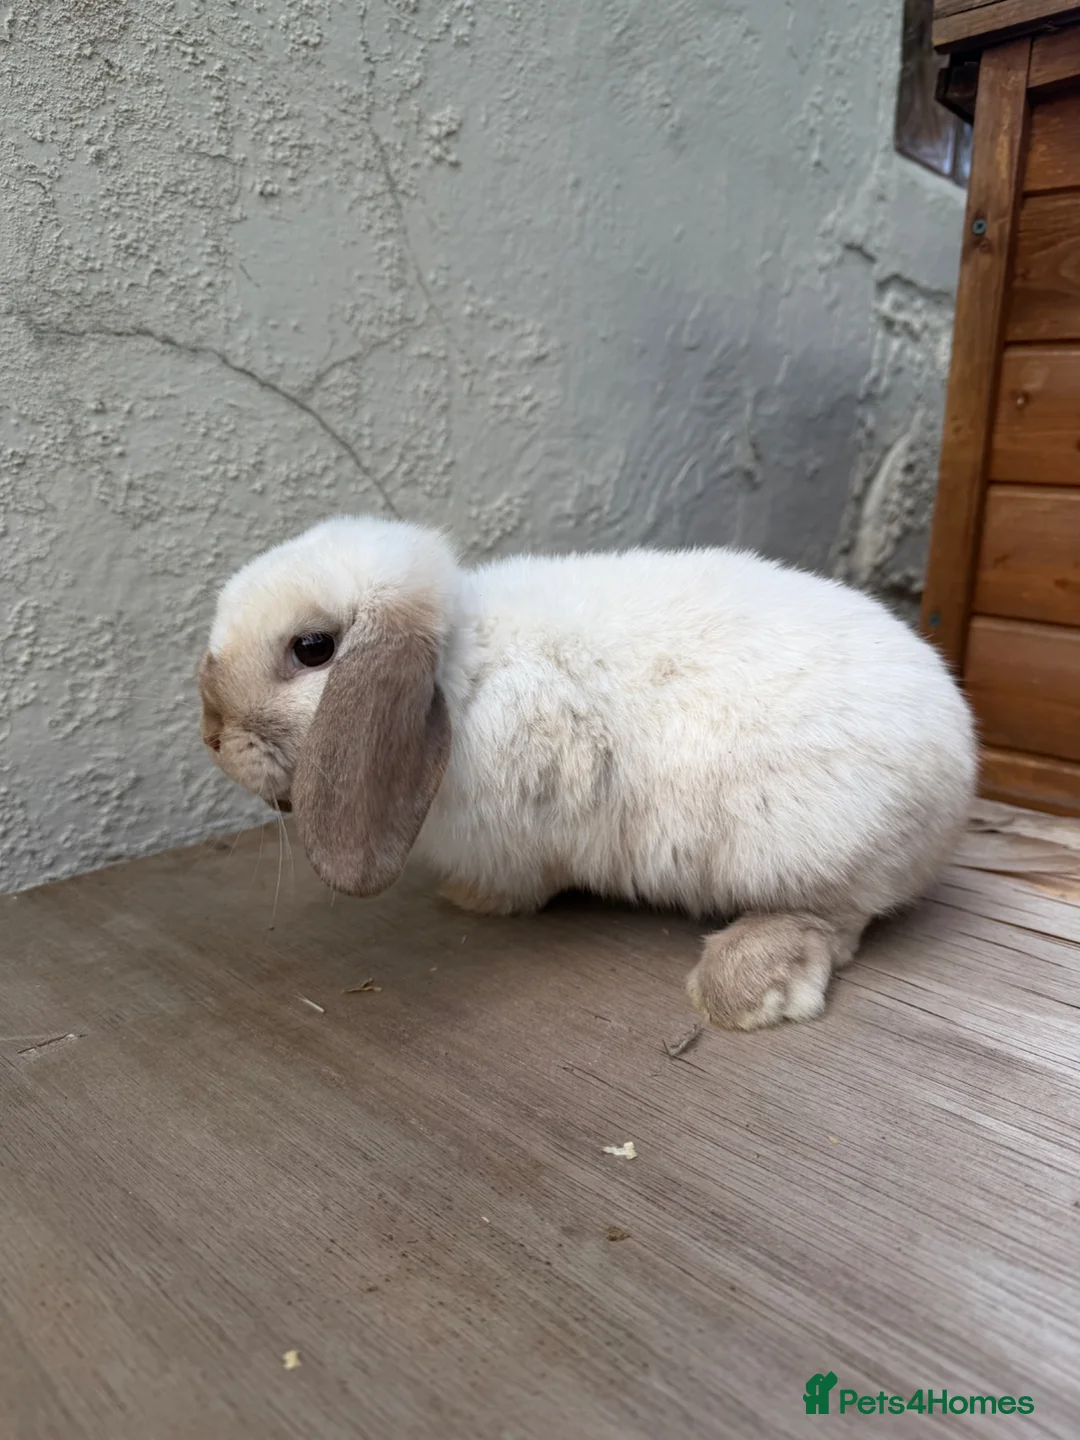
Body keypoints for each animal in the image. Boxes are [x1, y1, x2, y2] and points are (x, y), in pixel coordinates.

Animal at [198, 515, 976, 1031]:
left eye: (312, 648)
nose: (211, 735)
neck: (459, 670)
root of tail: (959, 757)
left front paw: (473, 900)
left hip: (799, 851)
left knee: (833, 921)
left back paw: (743, 989)